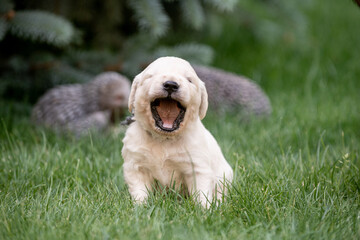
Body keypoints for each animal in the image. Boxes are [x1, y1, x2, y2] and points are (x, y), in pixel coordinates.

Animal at [121, 56, 233, 206]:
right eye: (151, 76)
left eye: (189, 80)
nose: (170, 85)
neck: (164, 138)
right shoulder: (135, 166)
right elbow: (140, 191)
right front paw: (141, 207)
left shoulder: (197, 167)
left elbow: (201, 193)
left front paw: (205, 209)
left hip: (225, 176)